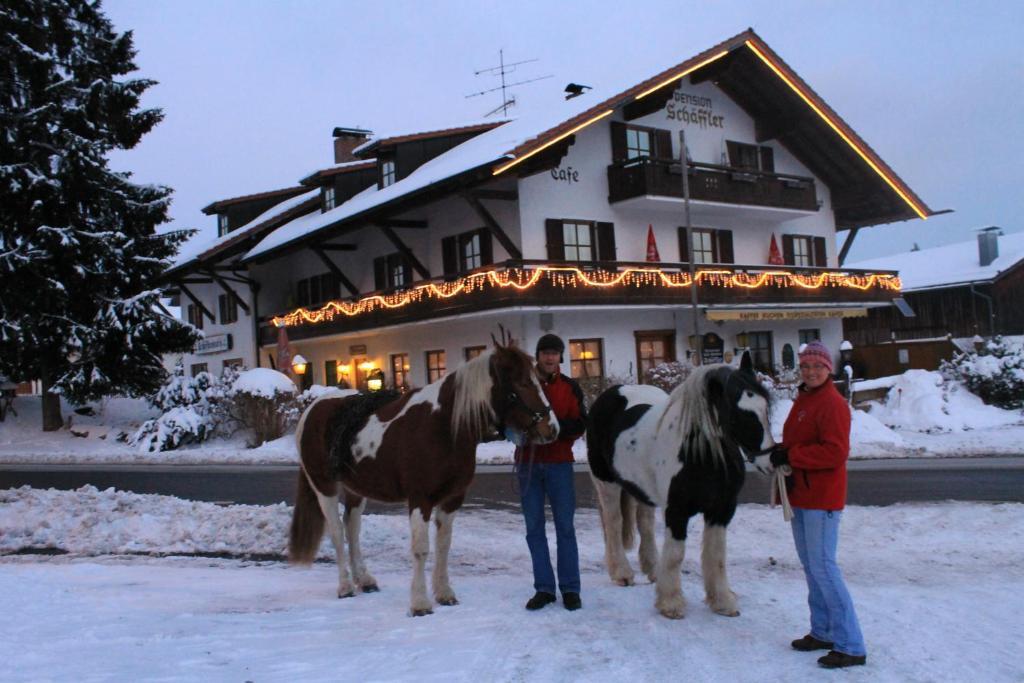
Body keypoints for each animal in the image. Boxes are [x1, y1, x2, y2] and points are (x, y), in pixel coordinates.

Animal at [288, 342, 561, 614]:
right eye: (522, 383)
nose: (552, 428)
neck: (442, 426)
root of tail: (313, 408)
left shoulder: (452, 499)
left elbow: (443, 545)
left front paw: (444, 593)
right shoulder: (420, 499)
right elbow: (421, 549)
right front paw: (420, 603)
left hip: (356, 489)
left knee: (352, 528)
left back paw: (364, 579)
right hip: (324, 487)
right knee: (336, 531)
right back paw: (345, 586)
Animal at [585, 352, 774, 618]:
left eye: (765, 407)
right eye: (737, 415)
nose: (771, 459)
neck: (700, 454)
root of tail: (610, 394)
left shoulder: (722, 510)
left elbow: (716, 555)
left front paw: (722, 602)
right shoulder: (677, 511)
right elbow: (676, 554)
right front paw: (671, 603)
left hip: (643, 490)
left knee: (645, 524)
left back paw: (653, 569)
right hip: (607, 483)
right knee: (613, 523)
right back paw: (622, 573)